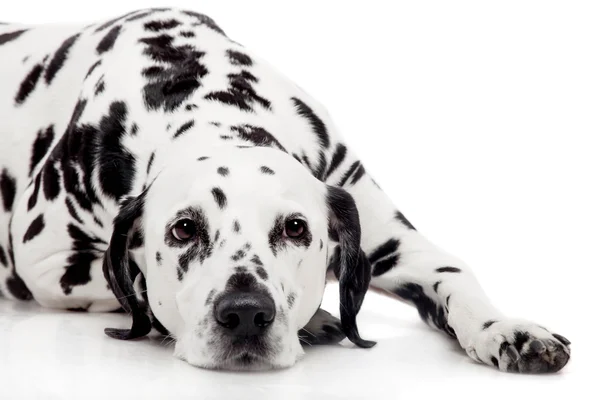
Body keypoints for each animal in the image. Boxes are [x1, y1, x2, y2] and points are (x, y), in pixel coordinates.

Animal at [0, 7, 572, 374]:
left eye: (296, 228)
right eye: (183, 229)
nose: (245, 313)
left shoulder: (394, 242)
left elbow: (456, 274)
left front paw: (508, 329)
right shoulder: (46, 265)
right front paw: (318, 319)